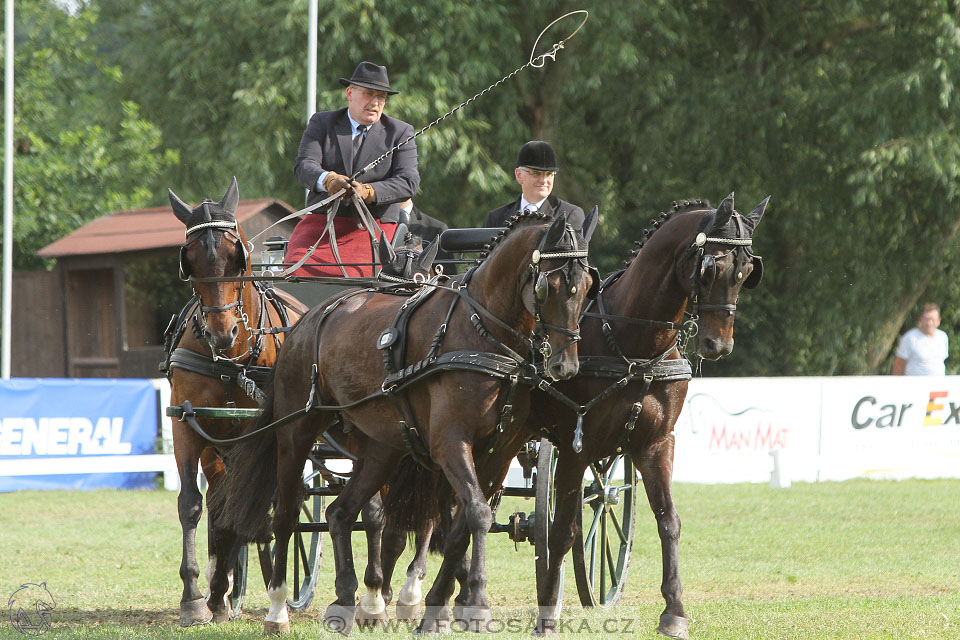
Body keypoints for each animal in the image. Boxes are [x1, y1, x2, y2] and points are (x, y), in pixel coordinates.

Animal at [163, 178, 308, 628]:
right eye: (189, 260)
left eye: (236, 257)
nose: (221, 333)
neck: (232, 360)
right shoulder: (187, 425)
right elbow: (193, 505)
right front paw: (196, 597)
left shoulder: (257, 430)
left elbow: (257, 504)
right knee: (220, 500)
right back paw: (219, 591)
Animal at [214, 211, 596, 636]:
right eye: (550, 285)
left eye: (588, 285)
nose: (565, 365)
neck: (481, 331)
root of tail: (308, 319)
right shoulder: (449, 444)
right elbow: (475, 515)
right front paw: (475, 602)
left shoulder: (498, 452)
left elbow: (463, 520)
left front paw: (446, 604)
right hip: (296, 429)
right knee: (285, 514)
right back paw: (279, 609)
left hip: (382, 447)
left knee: (341, 512)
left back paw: (347, 602)